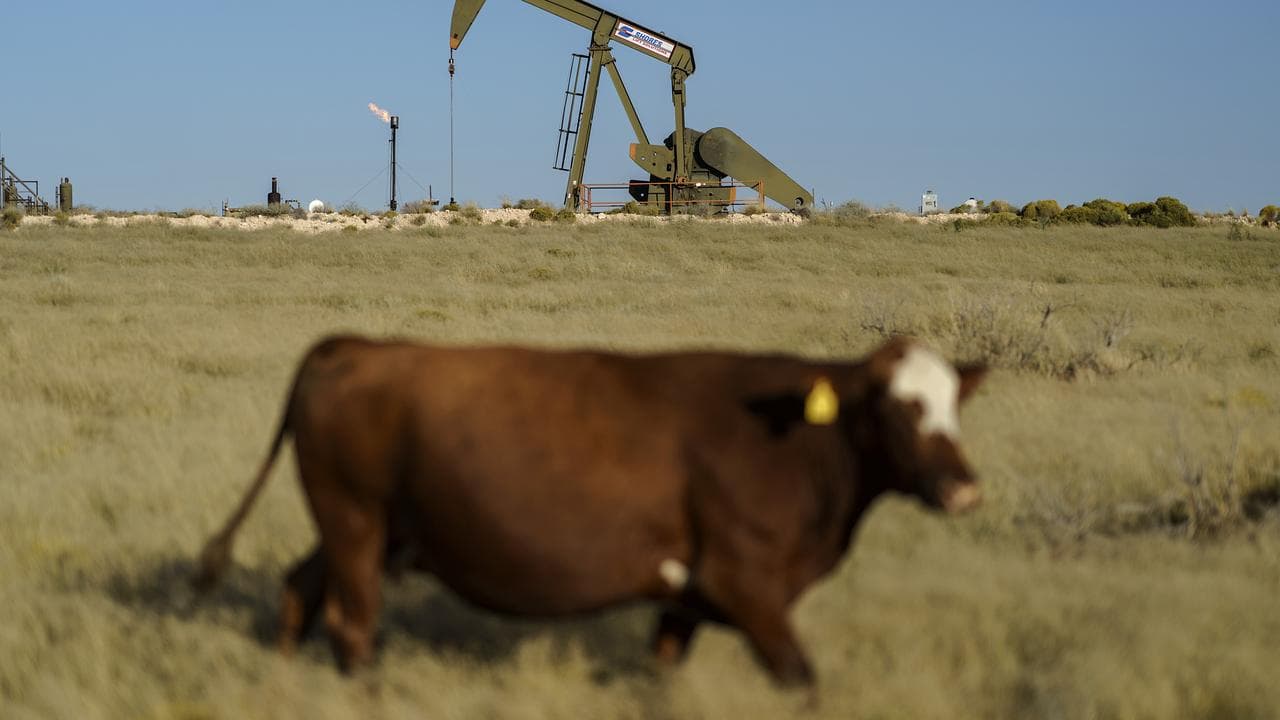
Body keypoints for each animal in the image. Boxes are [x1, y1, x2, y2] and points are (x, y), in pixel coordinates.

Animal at [193, 335, 986, 687]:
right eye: (898, 406)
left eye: (955, 404)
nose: (963, 488)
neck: (796, 440)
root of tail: (353, 346)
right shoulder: (745, 585)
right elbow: (802, 680)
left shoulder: (687, 599)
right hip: (356, 525)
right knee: (352, 626)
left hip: (363, 530)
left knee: (299, 589)